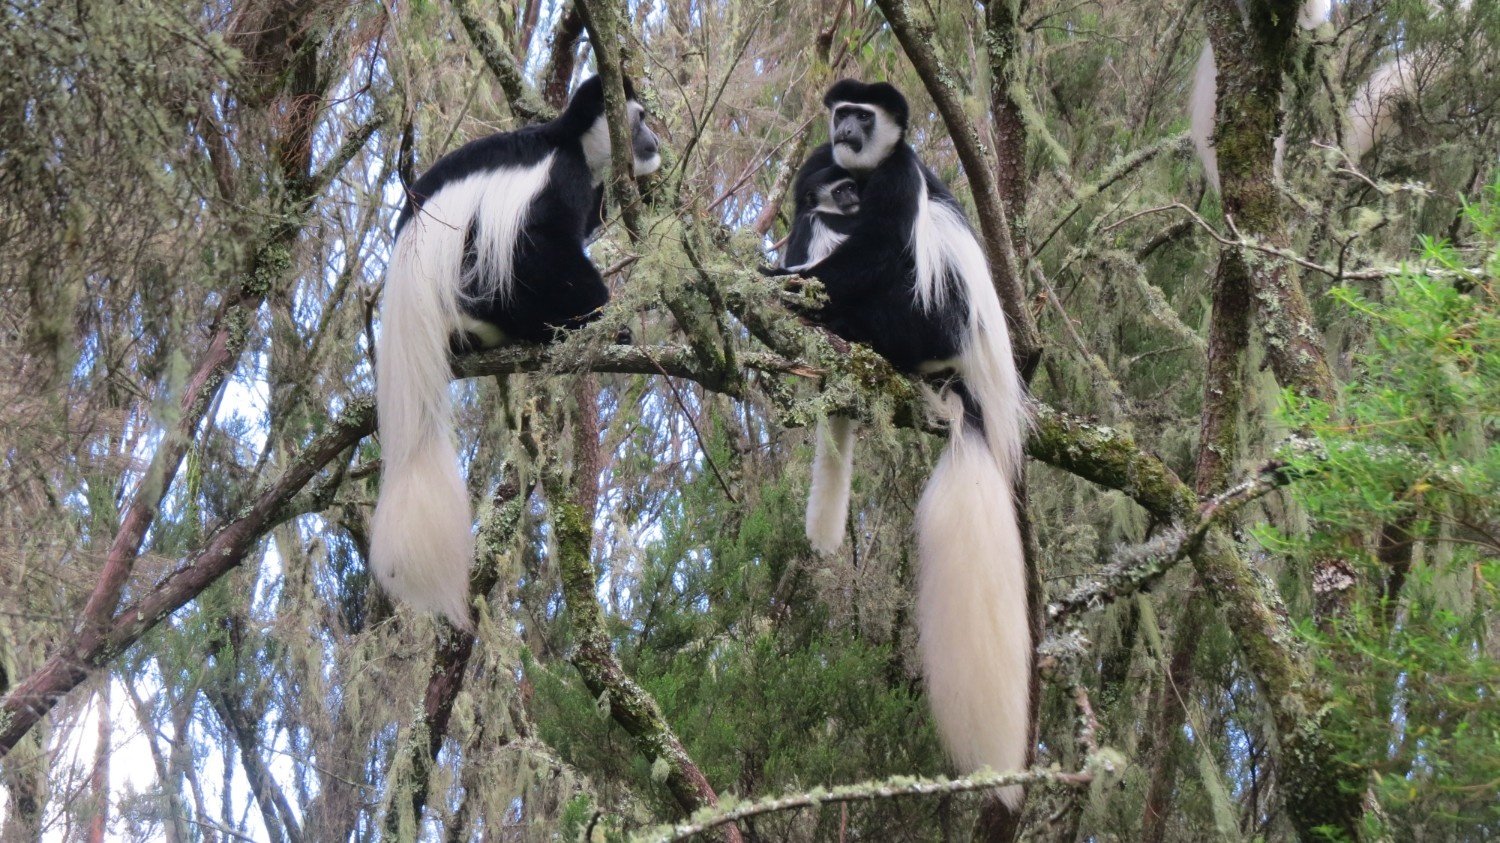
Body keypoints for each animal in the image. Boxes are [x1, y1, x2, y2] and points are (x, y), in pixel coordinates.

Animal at [372, 76, 660, 629]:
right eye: (638, 120)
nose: (654, 141)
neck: (567, 140)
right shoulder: (559, 178)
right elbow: (535, 245)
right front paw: (609, 320)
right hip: (466, 281)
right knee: (505, 266)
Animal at [766, 79, 1031, 807]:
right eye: (843, 114)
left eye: (866, 115)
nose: (848, 130)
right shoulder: (819, 173)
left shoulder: (895, 179)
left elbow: (883, 246)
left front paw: (778, 283)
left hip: (926, 318)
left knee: (901, 266)